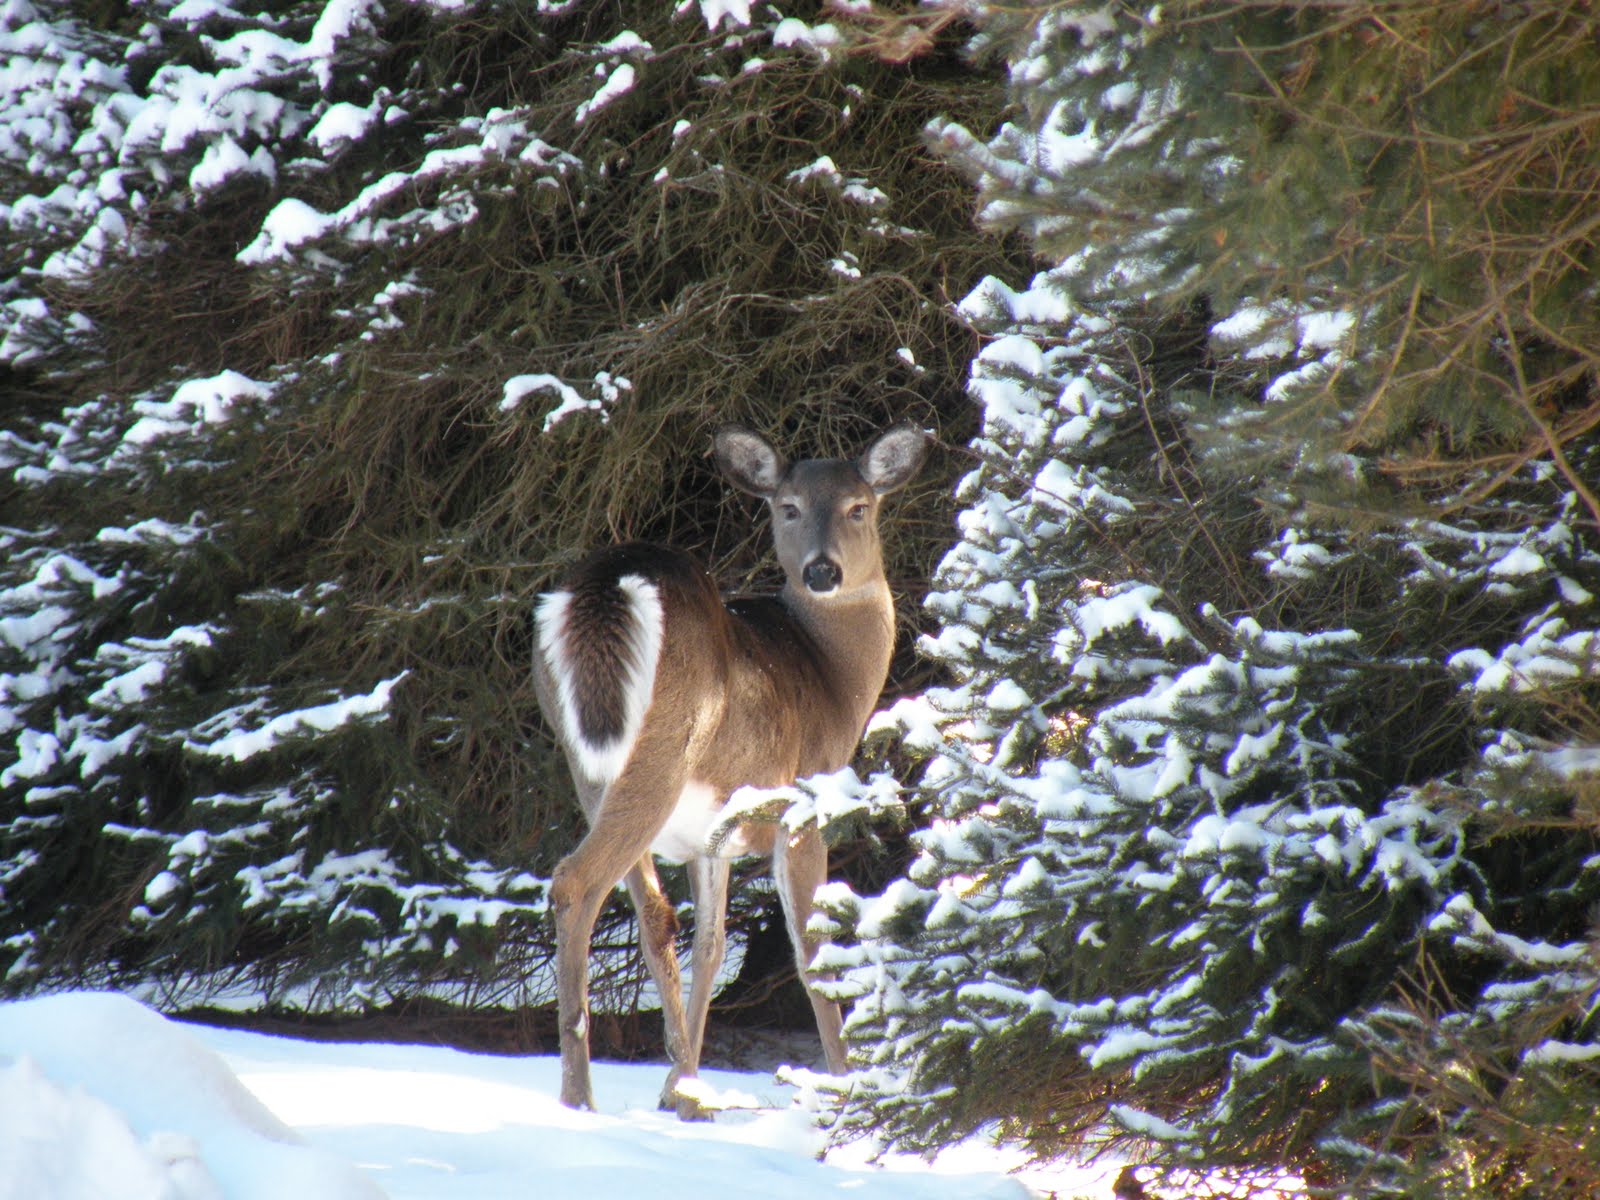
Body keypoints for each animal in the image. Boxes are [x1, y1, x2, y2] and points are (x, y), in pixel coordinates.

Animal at [531, 423, 929, 1117]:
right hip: (662, 749)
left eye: (859, 507)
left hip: (587, 764)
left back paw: (677, 1089)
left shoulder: (711, 836)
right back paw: (579, 1097)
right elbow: (811, 948)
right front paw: (846, 1085)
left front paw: (681, 1087)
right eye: (787, 507)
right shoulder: (806, 799)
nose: (822, 570)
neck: (834, 678)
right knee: (576, 881)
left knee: (653, 918)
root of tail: (606, 584)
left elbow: (711, 945)